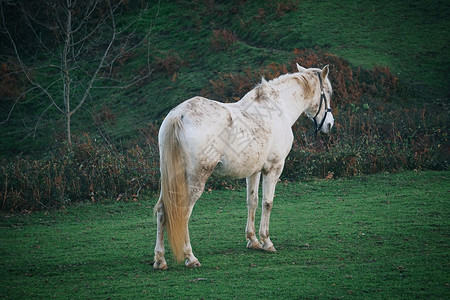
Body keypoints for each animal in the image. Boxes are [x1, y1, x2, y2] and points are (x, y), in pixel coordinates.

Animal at [153, 63, 332, 270]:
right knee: (183, 212)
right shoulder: (274, 168)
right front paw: (266, 241)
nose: (329, 124)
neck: (278, 108)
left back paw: (160, 259)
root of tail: (178, 115)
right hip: (195, 179)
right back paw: (191, 257)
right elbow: (267, 203)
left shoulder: (253, 172)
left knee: (162, 210)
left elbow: (252, 201)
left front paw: (253, 240)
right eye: (328, 92)